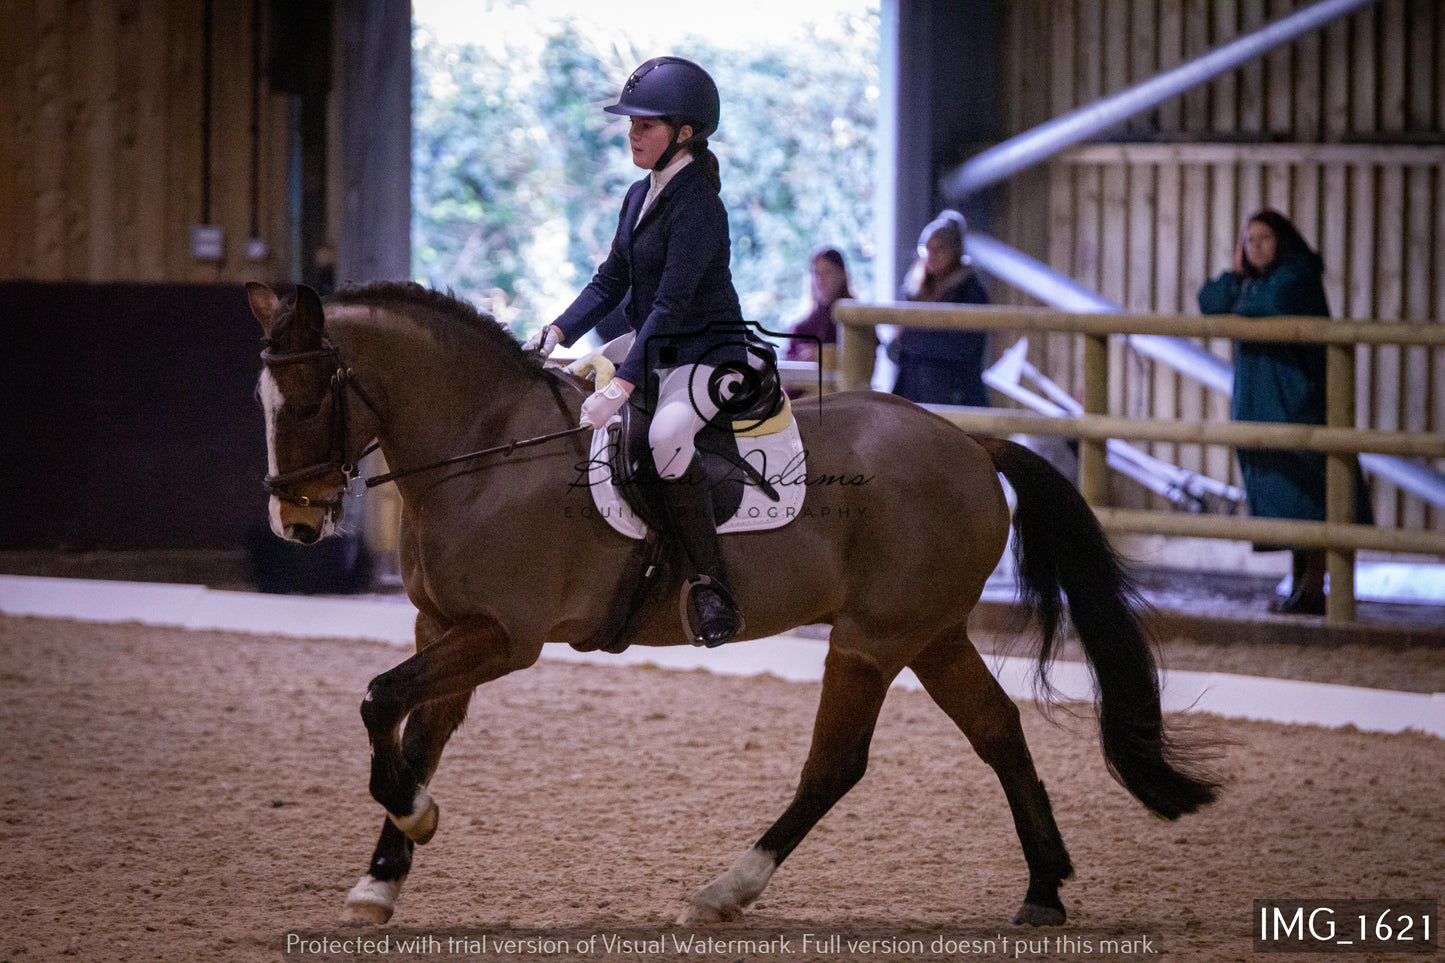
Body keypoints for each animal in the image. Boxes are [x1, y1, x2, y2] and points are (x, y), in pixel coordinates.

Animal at [248, 281, 1219, 925]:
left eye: (309, 397)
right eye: (261, 398)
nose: (294, 522)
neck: (486, 451)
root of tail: (970, 444)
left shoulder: (501, 636)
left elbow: (379, 700)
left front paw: (415, 815)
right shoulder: (445, 626)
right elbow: (419, 731)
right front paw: (381, 877)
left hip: (872, 638)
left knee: (837, 764)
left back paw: (727, 888)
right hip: (931, 631)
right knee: (996, 731)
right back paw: (1043, 888)